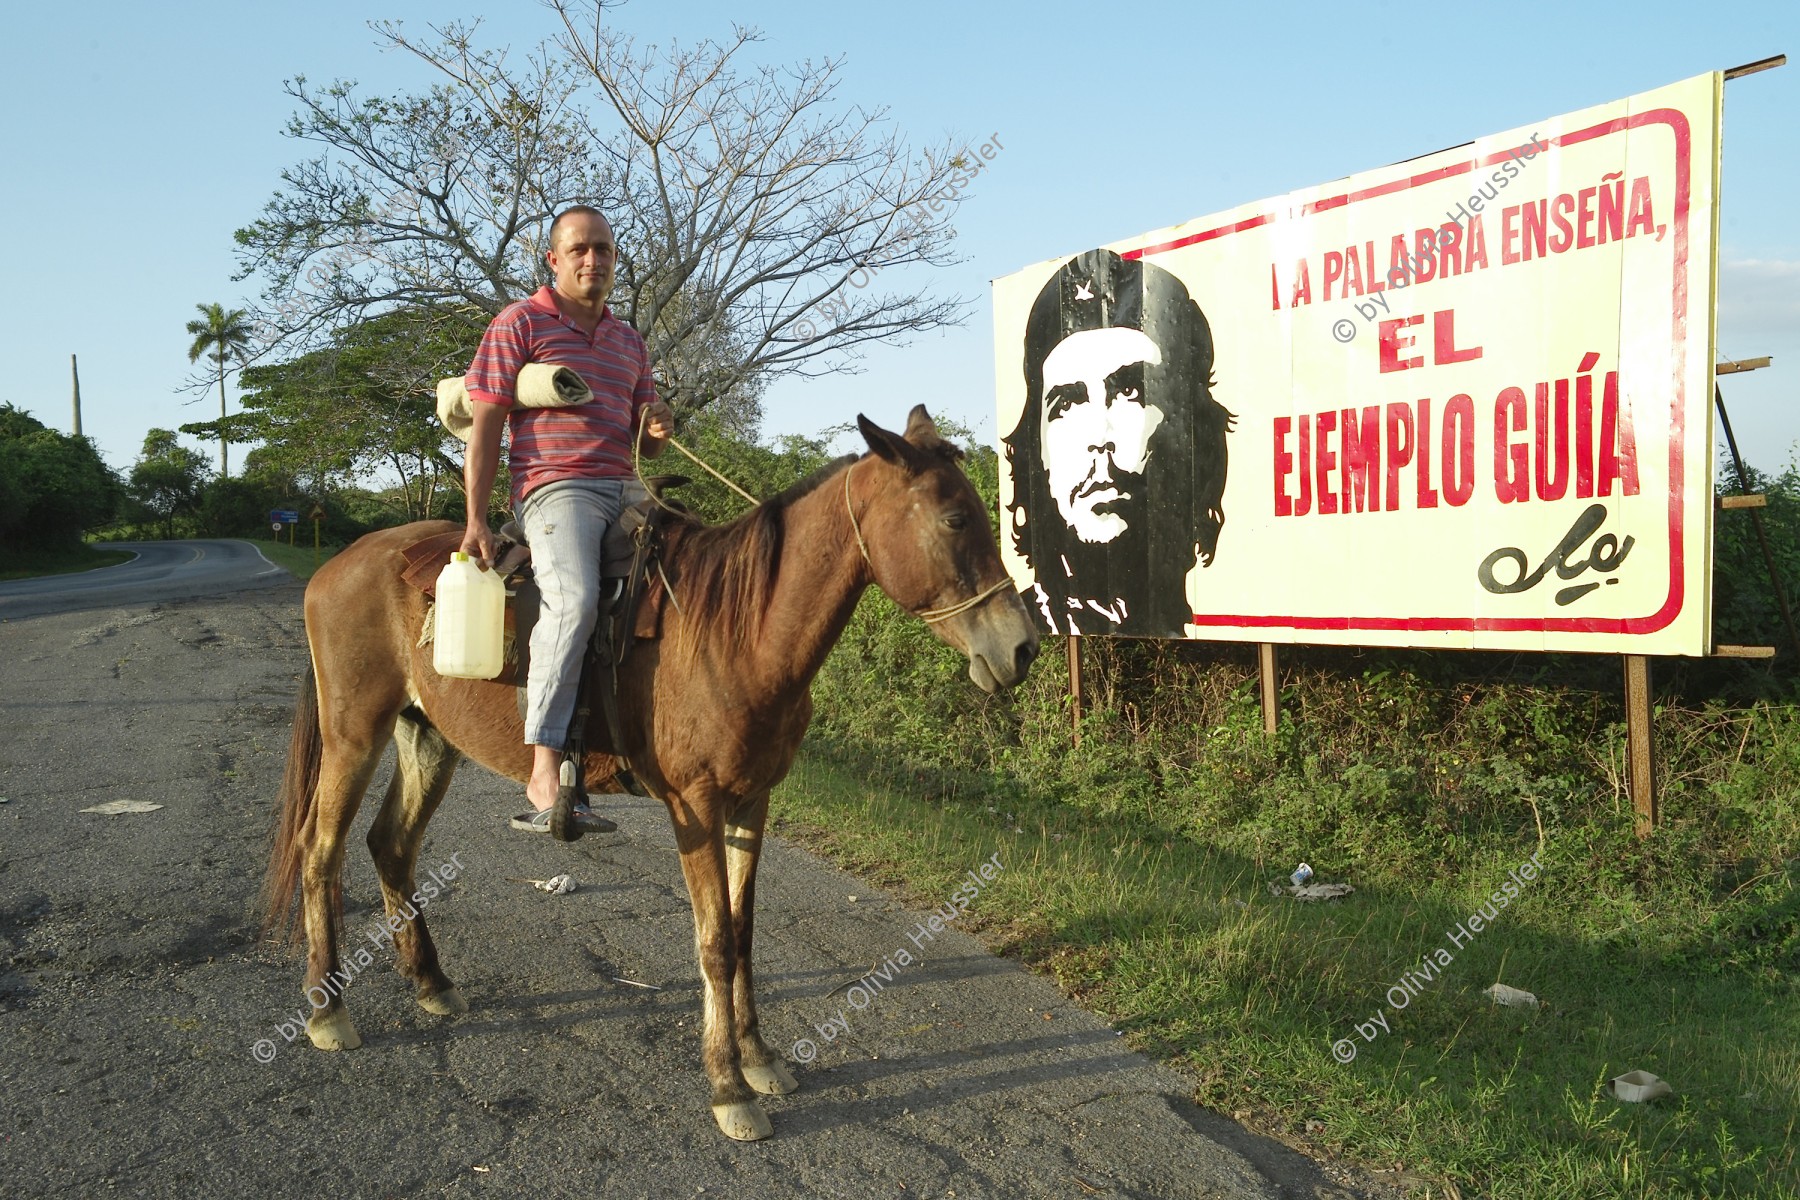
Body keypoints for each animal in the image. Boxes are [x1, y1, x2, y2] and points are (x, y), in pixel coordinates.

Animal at [259, 410, 1036, 1144]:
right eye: (956, 518)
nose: (1022, 648)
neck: (735, 632)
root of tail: (344, 563)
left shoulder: (752, 800)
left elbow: (743, 932)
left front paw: (759, 1057)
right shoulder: (694, 804)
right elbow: (714, 943)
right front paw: (728, 1086)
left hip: (426, 737)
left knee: (390, 844)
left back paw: (431, 981)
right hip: (354, 733)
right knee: (320, 851)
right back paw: (328, 1010)